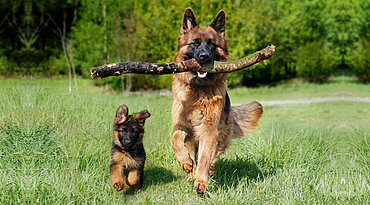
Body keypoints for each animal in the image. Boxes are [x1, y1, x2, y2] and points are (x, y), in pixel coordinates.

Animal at [171, 8, 262, 194]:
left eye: (212, 44)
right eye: (195, 43)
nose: (204, 57)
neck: (198, 90)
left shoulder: (209, 130)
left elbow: (205, 157)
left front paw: (201, 182)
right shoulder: (181, 125)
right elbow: (175, 140)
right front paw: (185, 161)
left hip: (220, 136)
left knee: (210, 156)